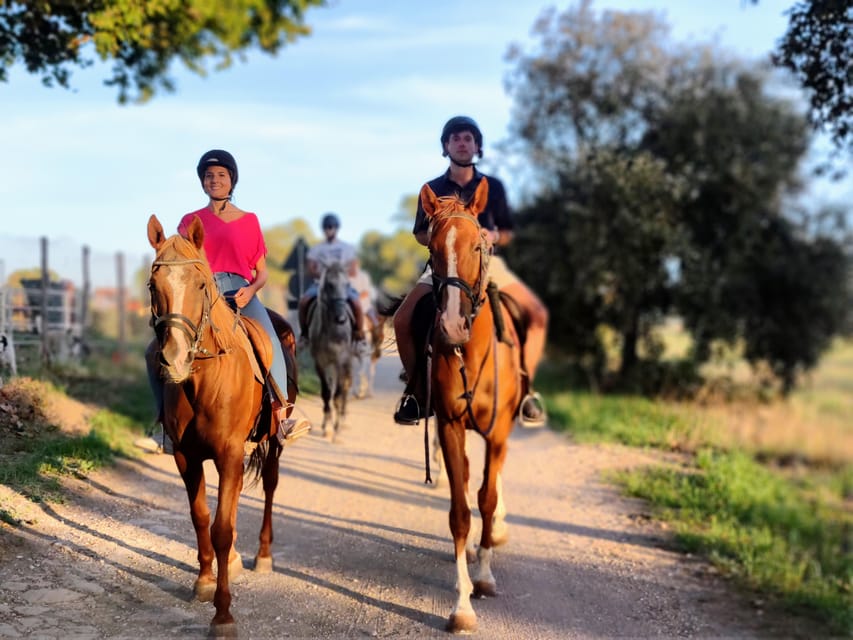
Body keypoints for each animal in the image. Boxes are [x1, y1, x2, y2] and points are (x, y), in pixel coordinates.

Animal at [144, 216, 296, 636]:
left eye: (200, 284)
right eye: (153, 286)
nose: (174, 359)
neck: (203, 381)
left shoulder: (228, 453)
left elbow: (222, 530)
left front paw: (223, 614)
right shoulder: (186, 456)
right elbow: (201, 518)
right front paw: (203, 581)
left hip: (273, 442)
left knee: (271, 487)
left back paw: (263, 555)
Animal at [306, 262, 352, 440]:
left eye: (347, 284)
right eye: (329, 285)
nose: (341, 319)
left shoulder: (339, 361)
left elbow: (338, 393)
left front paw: (336, 427)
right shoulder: (319, 362)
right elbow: (326, 392)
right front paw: (327, 427)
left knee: (345, 386)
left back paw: (343, 418)